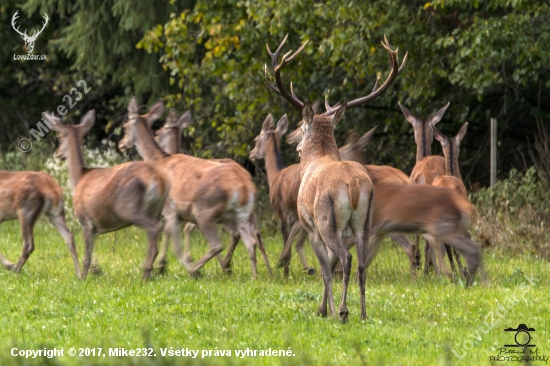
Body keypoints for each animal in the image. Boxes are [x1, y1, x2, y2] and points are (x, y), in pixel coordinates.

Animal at [42, 108, 169, 280]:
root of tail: (158, 181)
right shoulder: (95, 227)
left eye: (59, 136)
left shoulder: (85, 220)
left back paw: (145, 274)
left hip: (128, 207)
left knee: (155, 228)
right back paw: (150, 272)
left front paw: (83, 277)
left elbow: (87, 256)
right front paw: (95, 271)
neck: (79, 178)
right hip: (156, 209)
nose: (58, 153)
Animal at [121, 98, 274, 278]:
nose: (121, 144)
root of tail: (245, 187)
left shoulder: (170, 209)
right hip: (240, 215)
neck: (160, 161)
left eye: (125, 126)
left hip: (205, 211)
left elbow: (173, 239)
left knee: (219, 243)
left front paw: (163, 266)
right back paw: (256, 274)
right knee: (251, 240)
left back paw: (201, 269)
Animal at [266, 33, 412, 320]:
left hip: (326, 219)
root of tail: (354, 185)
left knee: (346, 259)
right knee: (361, 265)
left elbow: (325, 271)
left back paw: (343, 311)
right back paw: (363, 314)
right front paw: (324, 308)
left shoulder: (310, 225)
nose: (296, 147)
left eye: (301, 127)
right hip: (364, 222)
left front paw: (324, 310)